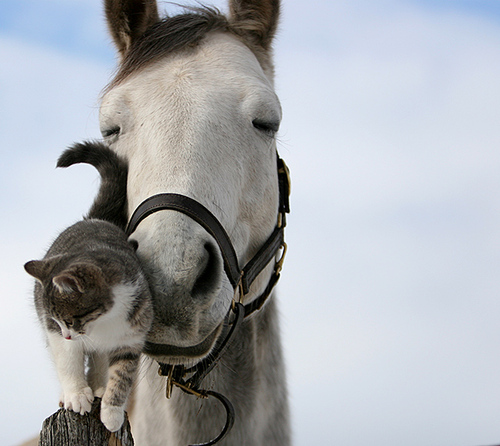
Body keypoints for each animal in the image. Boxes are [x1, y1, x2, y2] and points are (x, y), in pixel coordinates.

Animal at [23, 142, 152, 432]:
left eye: (72, 319)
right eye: (60, 321)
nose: (69, 334)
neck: (104, 321)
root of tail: (94, 219)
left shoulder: (132, 335)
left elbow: (122, 375)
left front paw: (112, 412)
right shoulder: (54, 331)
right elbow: (67, 361)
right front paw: (76, 395)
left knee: (99, 359)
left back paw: (99, 387)